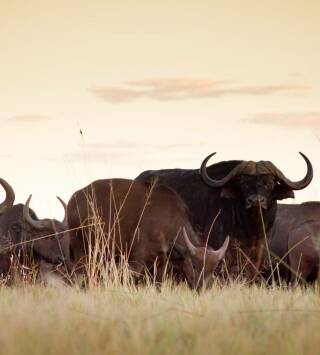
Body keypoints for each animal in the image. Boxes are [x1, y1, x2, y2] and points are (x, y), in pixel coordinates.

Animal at [67, 178, 230, 290]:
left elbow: (158, 284)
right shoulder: (136, 260)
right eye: (195, 266)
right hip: (81, 250)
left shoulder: (161, 263)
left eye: (213, 269)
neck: (168, 219)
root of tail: (73, 199)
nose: (202, 288)